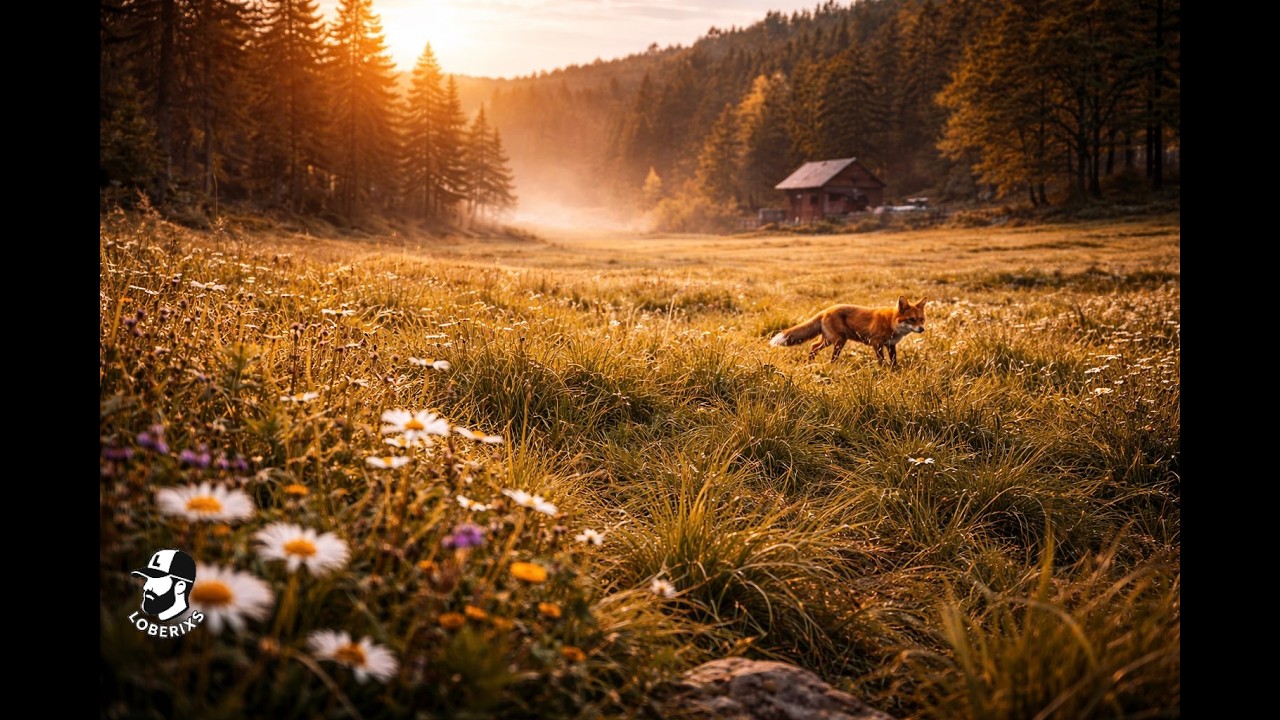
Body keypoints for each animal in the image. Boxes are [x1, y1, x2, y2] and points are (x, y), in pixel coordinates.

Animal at [769, 296, 928, 366]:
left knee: (813, 346)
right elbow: (882, 361)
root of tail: (825, 310)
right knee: (830, 357)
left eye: (921, 319)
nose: (922, 329)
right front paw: (884, 370)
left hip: (828, 340)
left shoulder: (891, 344)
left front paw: (895, 371)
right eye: (911, 319)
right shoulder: (876, 343)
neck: (891, 322)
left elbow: (894, 361)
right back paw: (831, 366)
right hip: (839, 341)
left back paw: (810, 362)